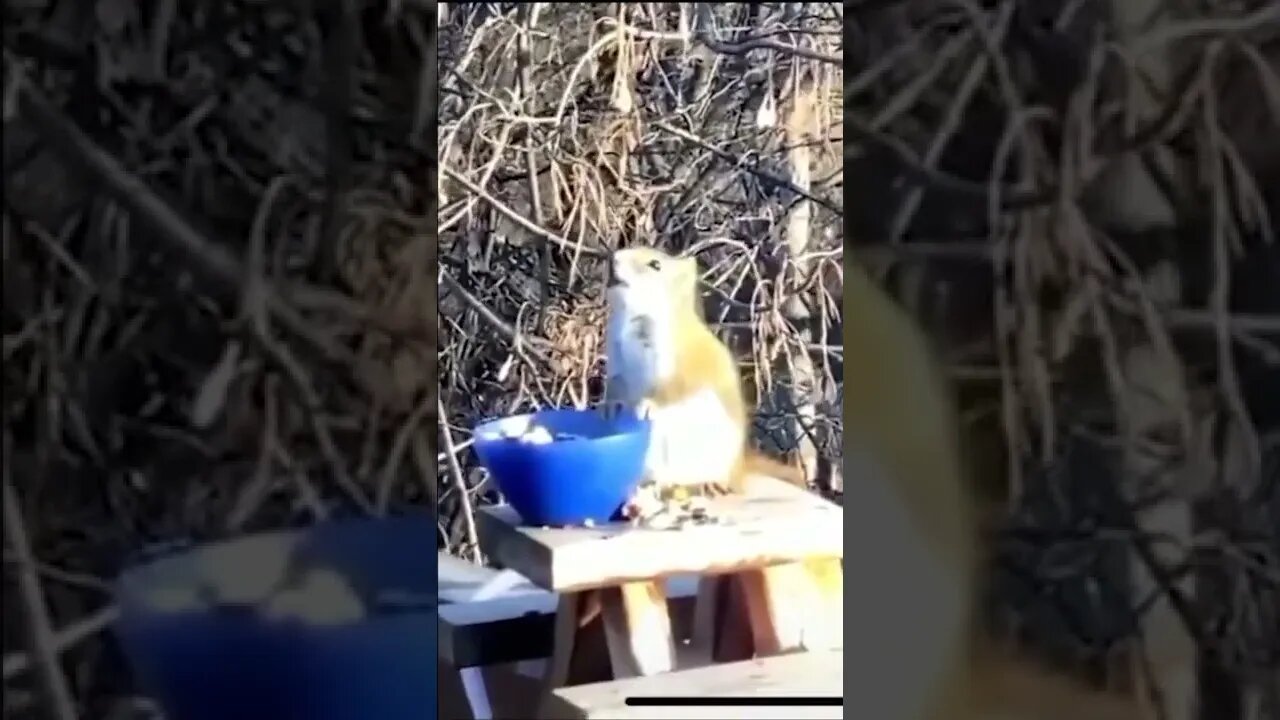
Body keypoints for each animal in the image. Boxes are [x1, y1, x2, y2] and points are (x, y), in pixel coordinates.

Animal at [601, 247, 805, 500]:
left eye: (655, 265)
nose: (612, 259)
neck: (631, 319)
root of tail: (740, 468)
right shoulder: (616, 354)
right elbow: (615, 381)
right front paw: (610, 405)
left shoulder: (680, 361)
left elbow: (672, 387)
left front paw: (647, 404)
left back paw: (707, 485)